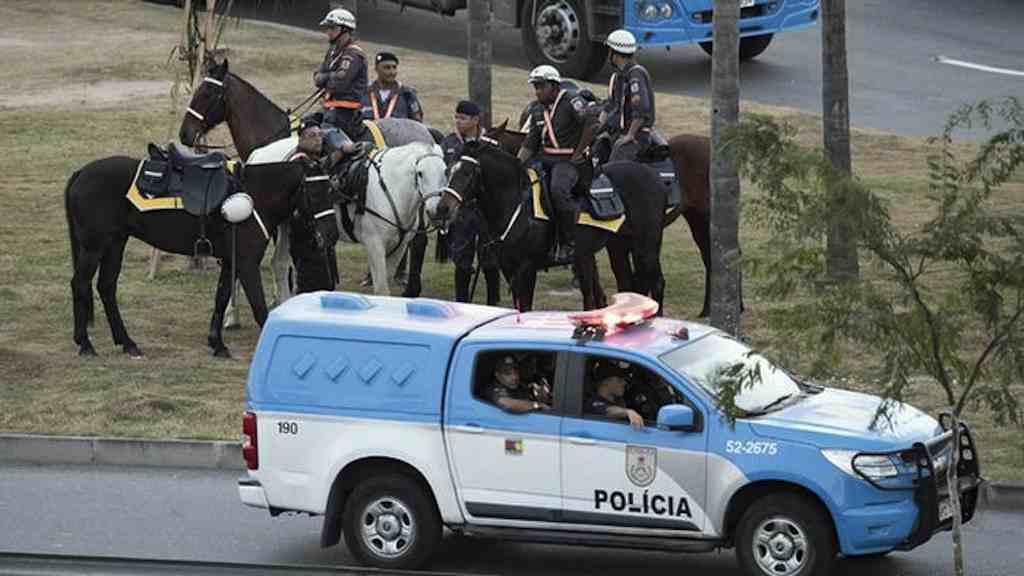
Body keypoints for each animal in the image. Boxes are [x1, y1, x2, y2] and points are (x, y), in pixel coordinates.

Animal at [64, 154, 325, 356]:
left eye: (330, 189)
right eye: (318, 192)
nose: (321, 239)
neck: (254, 194)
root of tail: (81, 172)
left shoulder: (231, 261)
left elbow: (221, 297)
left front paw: (217, 344)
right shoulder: (247, 262)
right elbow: (259, 306)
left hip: (115, 244)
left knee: (106, 286)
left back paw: (127, 343)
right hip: (94, 247)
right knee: (80, 284)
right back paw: (85, 344)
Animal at [436, 140, 667, 311]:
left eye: (467, 173)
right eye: (448, 171)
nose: (443, 209)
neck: (517, 204)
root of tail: (652, 174)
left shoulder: (527, 268)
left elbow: (525, 308)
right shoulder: (508, 268)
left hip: (646, 247)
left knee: (656, 283)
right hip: (617, 247)